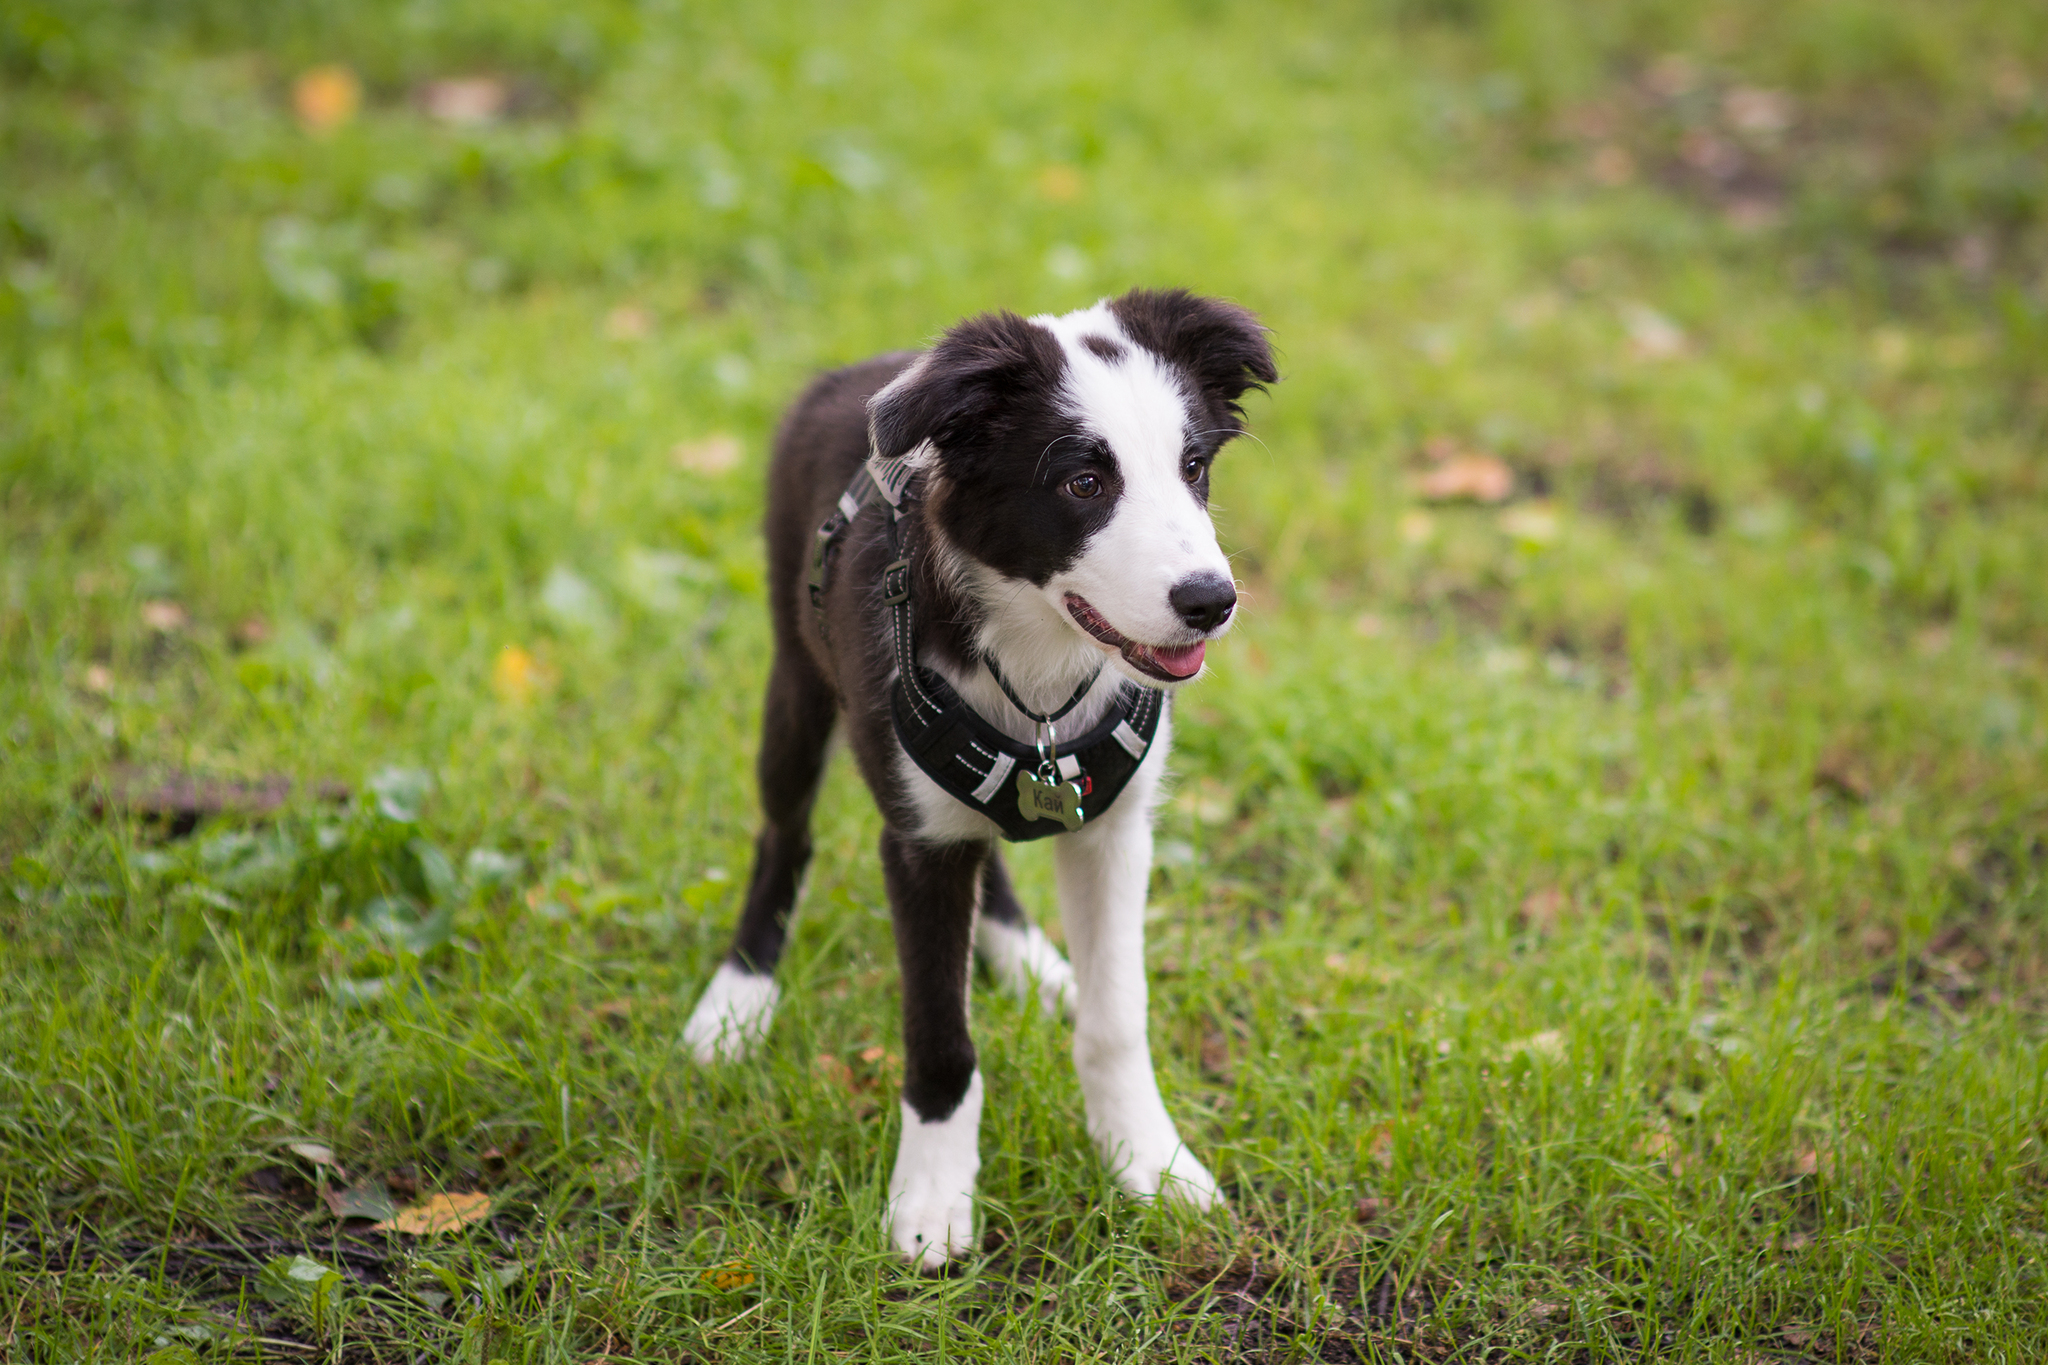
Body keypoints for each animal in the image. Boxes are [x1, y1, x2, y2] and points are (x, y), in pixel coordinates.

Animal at [679, 288, 1269, 1268]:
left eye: (1193, 467)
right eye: (1083, 483)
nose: (1210, 601)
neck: (1037, 664)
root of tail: (865, 369)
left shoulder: (1114, 829)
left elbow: (1118, 1019)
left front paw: (1149, 1163)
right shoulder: (917, 845)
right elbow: (939, 1037)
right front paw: (931, 1199)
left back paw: (1026, 957)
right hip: (795, 682)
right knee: (783, 835)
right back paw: (739, 995)